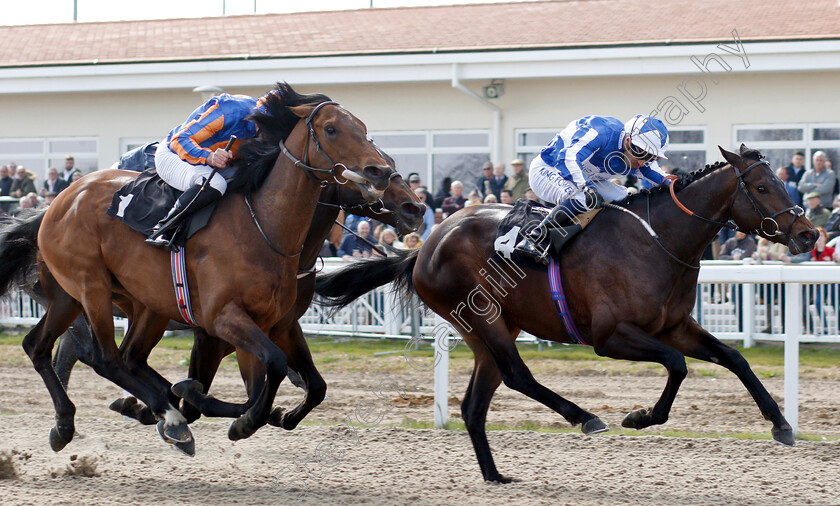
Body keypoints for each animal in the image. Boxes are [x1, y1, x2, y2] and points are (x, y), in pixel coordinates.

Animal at [0, 85, 398, 452]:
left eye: (363, 129)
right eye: (331, 129)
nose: (381, 172)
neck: (263, 226)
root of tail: (55, 204)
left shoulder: (272, 322)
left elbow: (285, 380)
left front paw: (242, 412)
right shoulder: (221, 320)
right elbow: (273, 365)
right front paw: (239, 419)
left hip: (90, 299)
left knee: (46, 346)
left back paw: (70, 423)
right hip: (91, 288)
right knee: (106, 358)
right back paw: (167, 415)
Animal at [314, 145, 812, 482]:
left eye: (783, 182)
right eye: (763, 187)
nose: (809, 234)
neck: (657, 241)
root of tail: (425, 245)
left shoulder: (675, 326)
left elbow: (735, 359)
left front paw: (782, 425)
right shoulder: (611, 336)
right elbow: (677, 365)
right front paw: (640, 417)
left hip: (487, 328)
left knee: (476, 403)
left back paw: (495, 475)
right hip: (483, 318)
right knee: (517, 376)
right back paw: (584, 417)